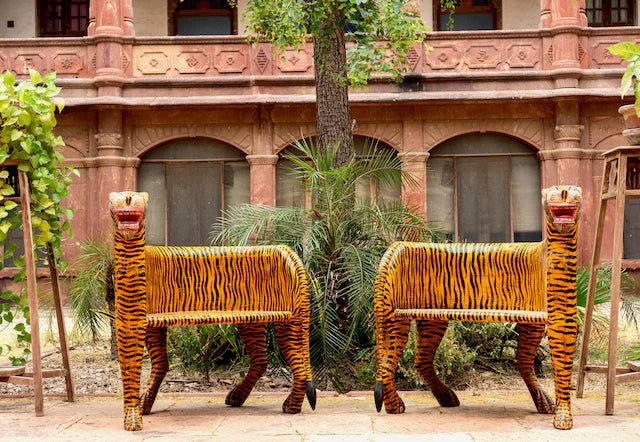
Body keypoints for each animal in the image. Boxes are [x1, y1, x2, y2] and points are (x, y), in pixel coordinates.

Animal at [109, 192, 316, 431]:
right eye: (115, 197)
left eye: (137, 197)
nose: (127, 198)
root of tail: (287, 252)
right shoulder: (144, 323)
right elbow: (158, 365)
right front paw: (141, 408)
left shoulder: (133, 326)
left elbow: (138, 371)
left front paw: (133, 417)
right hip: (255, 322)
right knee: (265, 361)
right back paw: (239, 397)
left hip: (289, 321)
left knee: (298, 365)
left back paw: (290, 406)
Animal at [373, 185, 581, 430]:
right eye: (555, 189)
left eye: (575, 189)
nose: (565, 191)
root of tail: (395, 247)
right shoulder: (556, 321)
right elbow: (555, 365)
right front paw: (562, 417)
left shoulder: (544, 320)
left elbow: (538, 363)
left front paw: (554, 410)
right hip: (396, 317)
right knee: (389, 363)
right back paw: (396, 406)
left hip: (429, 320)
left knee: (415, 361)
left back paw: (441, 399)